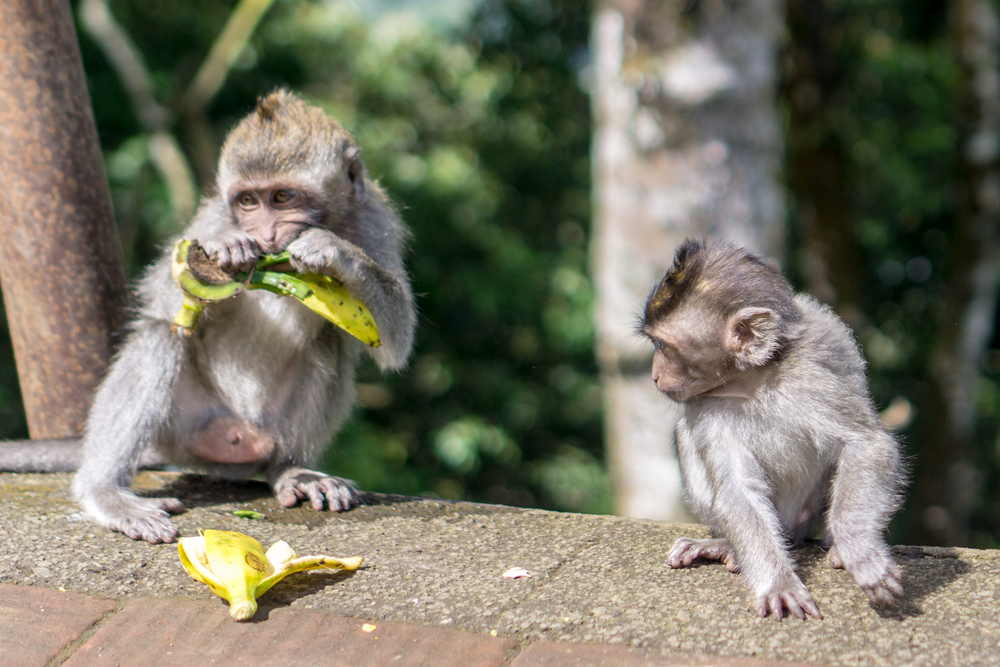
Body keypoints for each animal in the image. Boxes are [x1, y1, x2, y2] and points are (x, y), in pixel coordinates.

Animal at [0, 90, 414, 548]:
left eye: (283, 198)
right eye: (248, 201)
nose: (265, 234)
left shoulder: (376, 221)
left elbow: (397, 340)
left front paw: (333, 250)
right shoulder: (214, 214)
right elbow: (158, 300)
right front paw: (224, 246)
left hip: (262, 431)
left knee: (329, 343)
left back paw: (291, 469)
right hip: (186, 427)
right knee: (160, 337)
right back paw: (107, 492)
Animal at [640, 240, 908, 620]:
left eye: (664, 347)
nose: (654, 375)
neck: (754, 381)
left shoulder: (809, 378)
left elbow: (866, 444)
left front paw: (858, 548)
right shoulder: (708, 407)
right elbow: (737, 487)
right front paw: (779, 582)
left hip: (799, 515)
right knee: (683, 432)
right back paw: (726, 544)